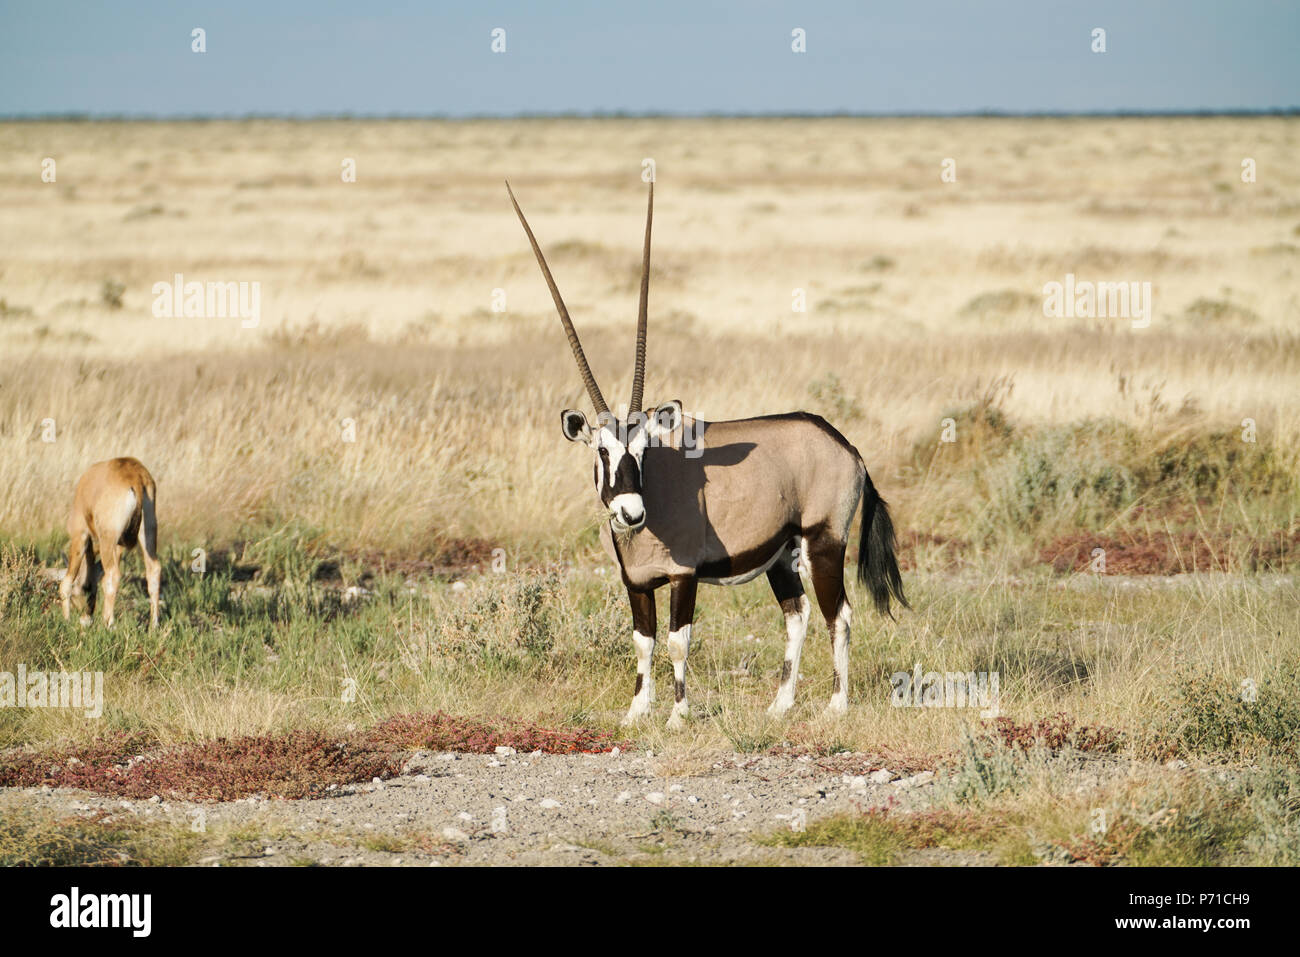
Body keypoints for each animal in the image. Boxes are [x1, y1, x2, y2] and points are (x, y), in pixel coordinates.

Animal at [59, 455, 161, 629]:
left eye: (84, 588)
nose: (86, 615)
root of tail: (136, 476)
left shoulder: (80, 535)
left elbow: (66, 582)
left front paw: (66, 621)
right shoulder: (118, 545)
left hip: (106, 540)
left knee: (113, 574)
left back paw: (108, 623)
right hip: (146, 534)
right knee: (153, 570)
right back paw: (153, 627)